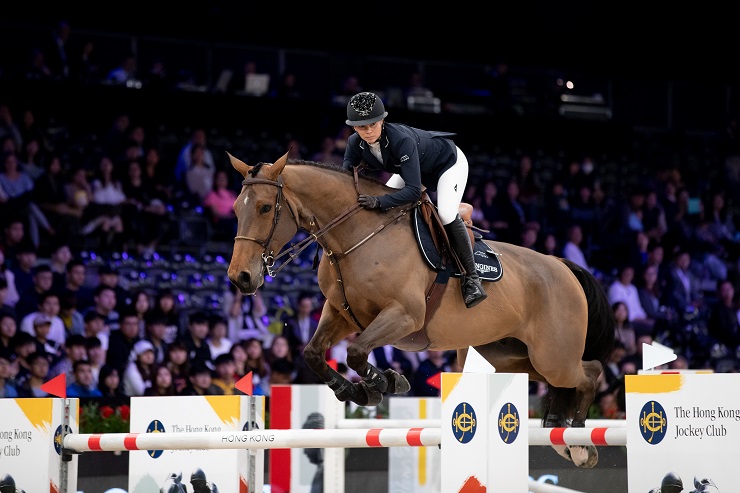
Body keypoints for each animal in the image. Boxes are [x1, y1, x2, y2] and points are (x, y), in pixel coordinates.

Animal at [228, 150, 616, 466]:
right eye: (235, 209)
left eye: (265, 207)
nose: (240, 278)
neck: (355, 236)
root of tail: (563, 266)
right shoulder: (341, 314)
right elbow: (313, 353)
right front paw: (357, 390)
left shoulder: (404, 316)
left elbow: (356, 352)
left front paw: (383, 382)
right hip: (509, 355)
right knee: (561, 380)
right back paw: (560, 434)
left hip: (554, 356)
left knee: (590, 372)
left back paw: (580, 440)